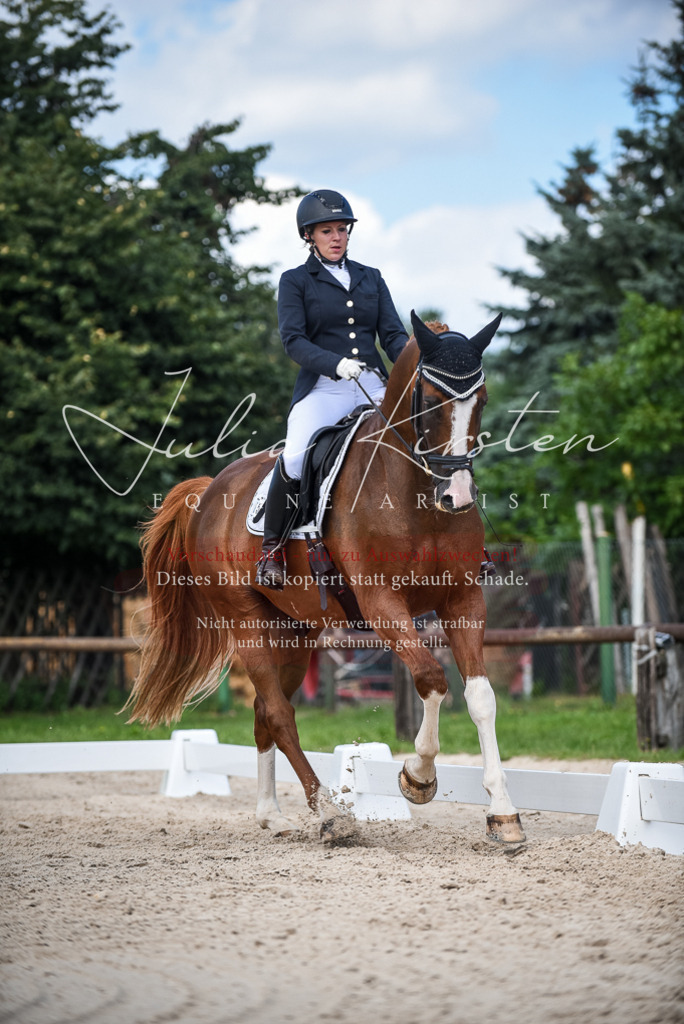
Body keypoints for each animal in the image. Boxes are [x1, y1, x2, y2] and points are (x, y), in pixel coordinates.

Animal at [125, 311, 525, 845]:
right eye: (431, 400)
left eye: (479, 400)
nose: (456, 496)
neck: (413, 492)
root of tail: (208, 491)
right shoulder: (381, 603)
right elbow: (431, 678)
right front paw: (416, 778)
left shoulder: (462, 601)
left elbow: (481, 698)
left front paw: (503, 815)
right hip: (245, 620)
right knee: (278, 713)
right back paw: (330, 814)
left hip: (295, 630)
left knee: (265, 714)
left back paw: (272, 815)